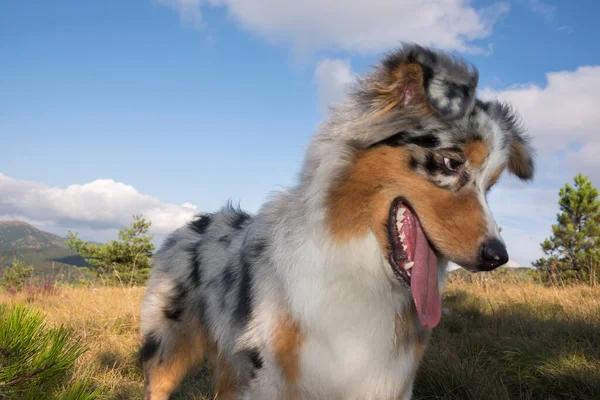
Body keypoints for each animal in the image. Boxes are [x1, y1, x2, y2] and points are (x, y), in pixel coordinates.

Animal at [137, 44, 536, 400]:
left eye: (491, 185)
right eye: (453, 163)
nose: (497, 257)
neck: (362, 269)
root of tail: (192, 223)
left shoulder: (387, 379)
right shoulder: (274, 377)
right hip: (171, 347)